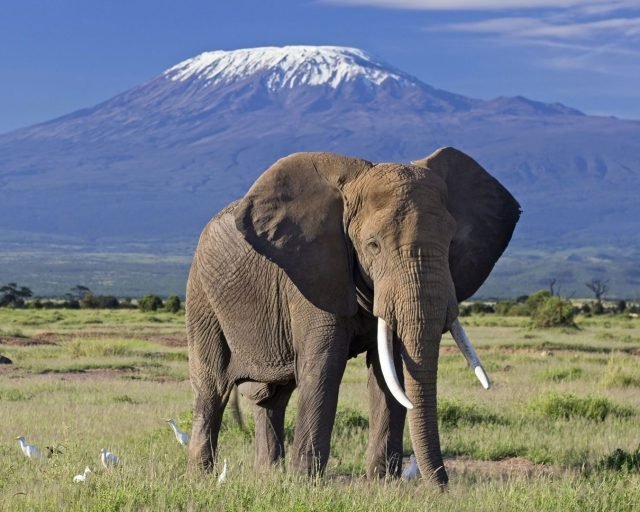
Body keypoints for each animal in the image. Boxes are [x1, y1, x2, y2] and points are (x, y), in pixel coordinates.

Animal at [185, 147, 520, 485]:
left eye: (451, 243)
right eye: (373, 245)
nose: (442, 487)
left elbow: (389, 370)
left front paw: (384, 484)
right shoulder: (313, 273)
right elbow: (325, 366)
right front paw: (306, 484)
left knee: (273, 396)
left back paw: (269, 476)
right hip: (201, 295)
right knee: (212, 387)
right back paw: (202, 477)